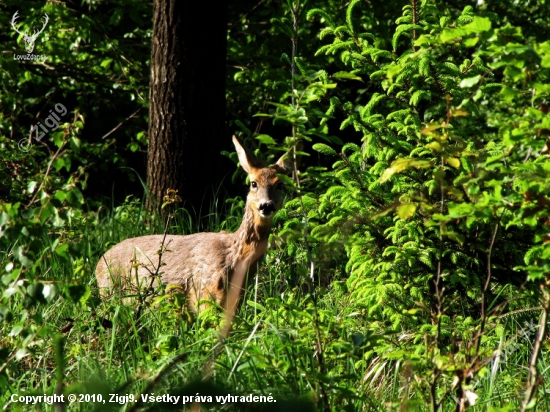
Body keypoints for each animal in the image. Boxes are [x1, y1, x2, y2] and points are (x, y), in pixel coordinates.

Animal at [96, 136, 294, 312]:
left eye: (280, 185)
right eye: (253, 183)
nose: (266, 205)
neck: (235, 258)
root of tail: (98, 264)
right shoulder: (206, 293)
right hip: (110, 291)